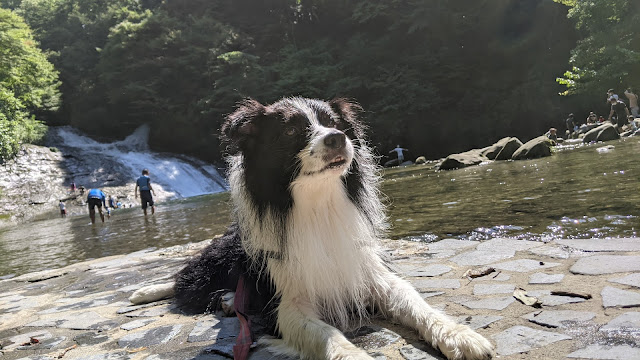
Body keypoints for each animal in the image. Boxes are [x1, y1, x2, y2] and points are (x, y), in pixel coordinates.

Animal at [172, 97, 492, 358]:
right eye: (290, 131)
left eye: (334, 123)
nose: (337, 138)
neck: (317, 203)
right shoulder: (284, 305)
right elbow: (327, 335)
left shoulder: (367, 272)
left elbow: (412, 299)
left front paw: (459, 335)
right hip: (213, 265)